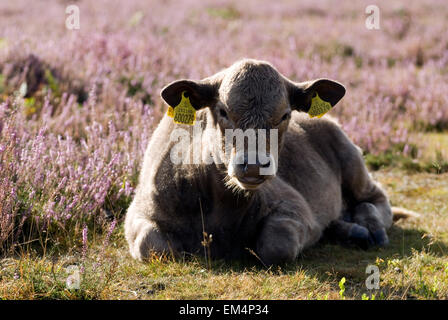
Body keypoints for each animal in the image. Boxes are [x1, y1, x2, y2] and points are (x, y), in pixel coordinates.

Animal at [125, 58, 416, 266]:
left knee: (375, 200)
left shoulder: (294, 208)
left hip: (353, 162)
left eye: (285, 115)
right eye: (223, 111)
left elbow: (277, 245)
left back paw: (370, 229)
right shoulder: (139, 212)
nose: (254, 164)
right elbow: (152, 246)